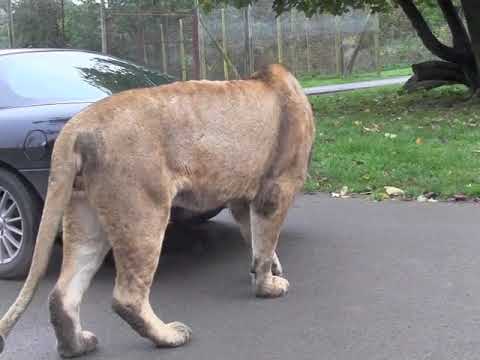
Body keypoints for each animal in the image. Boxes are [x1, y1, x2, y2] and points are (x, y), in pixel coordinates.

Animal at [0, 64, 316, 358]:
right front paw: (267, 286)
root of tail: (76, 126)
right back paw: (169, 336)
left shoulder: (240, 198)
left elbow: (254, 238)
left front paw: (270, 269)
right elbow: (264, 242)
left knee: (62, 293)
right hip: (144, 213)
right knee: (127, 297)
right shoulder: (277, 188)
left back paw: (76, 346)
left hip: (85, 217)